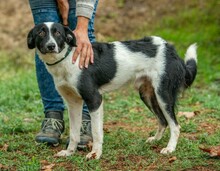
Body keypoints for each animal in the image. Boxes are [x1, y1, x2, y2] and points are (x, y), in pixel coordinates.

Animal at [27, 22, 198, 159]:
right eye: (41, 33)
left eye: (58, 33)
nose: (51, 46)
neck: (68, 59)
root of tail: (170, 48)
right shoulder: (73, 103)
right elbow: (74, 133)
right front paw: (69, 152)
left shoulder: (94, 99)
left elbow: (97, 132)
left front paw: (95, 154)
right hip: (147, 94)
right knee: (163, 120)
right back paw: (155, 140)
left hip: (163, 94)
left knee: (175, 125)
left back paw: (170, 148)